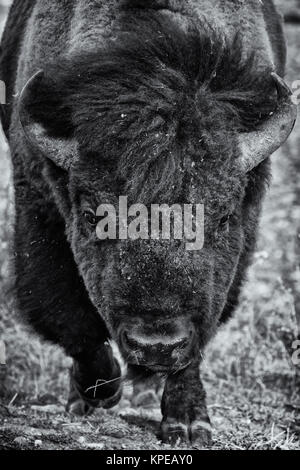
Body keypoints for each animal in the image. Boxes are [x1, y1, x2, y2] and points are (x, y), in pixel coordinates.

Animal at [0, 0, 296, 446]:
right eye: (92, 215)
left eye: (224, 215)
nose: (156, 345)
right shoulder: (37, 203)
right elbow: (68, 314)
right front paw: (100, 392)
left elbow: (201, 332)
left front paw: (188, 422)